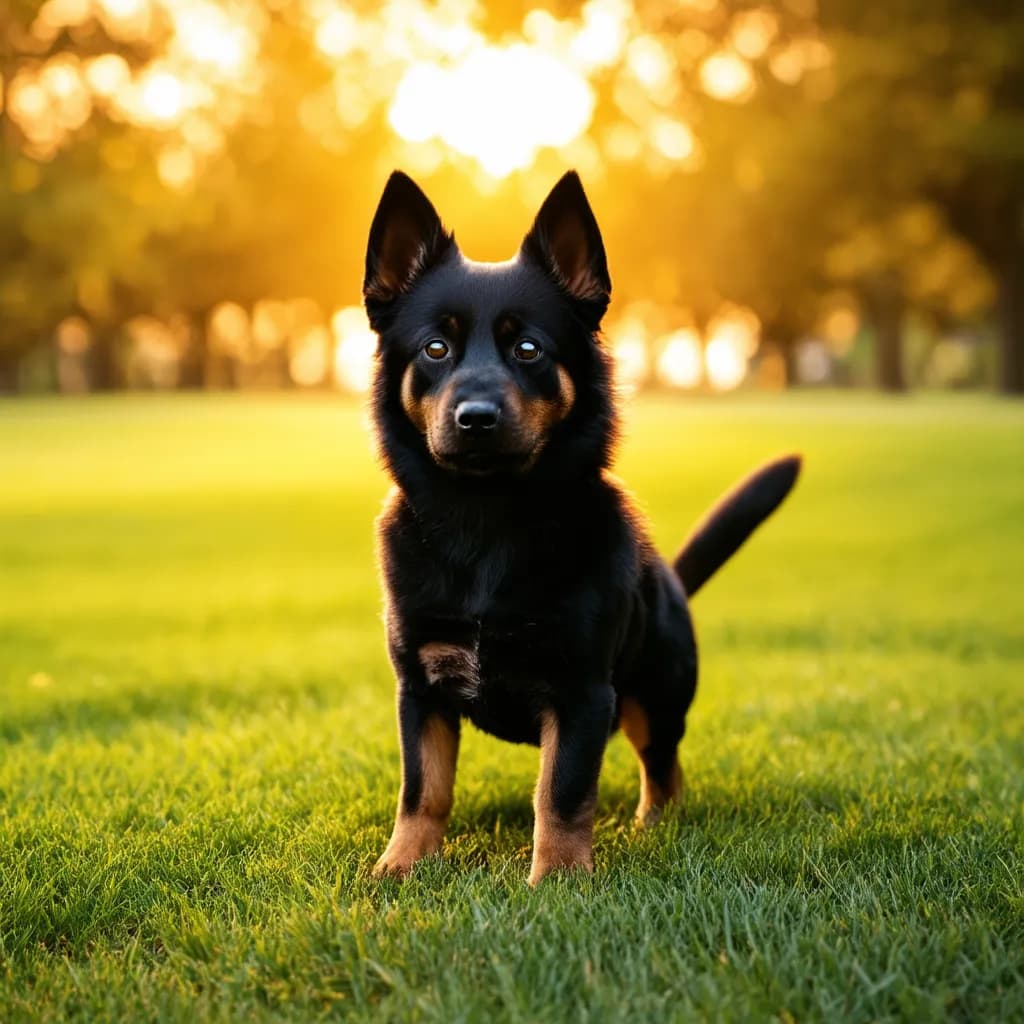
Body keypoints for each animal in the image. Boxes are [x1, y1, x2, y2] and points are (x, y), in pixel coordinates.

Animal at [360, 169, 798, 888]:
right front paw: (402, 866)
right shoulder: (420, 688)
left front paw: (559, 880)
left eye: (529, 348)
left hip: (658, 693)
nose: (476, 417)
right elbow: (423, 789)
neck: (487, 525)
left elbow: (562, 792)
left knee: (663, 764)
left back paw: (656, 825)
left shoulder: (583, 691)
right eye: (435, 348)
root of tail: (669, 577)